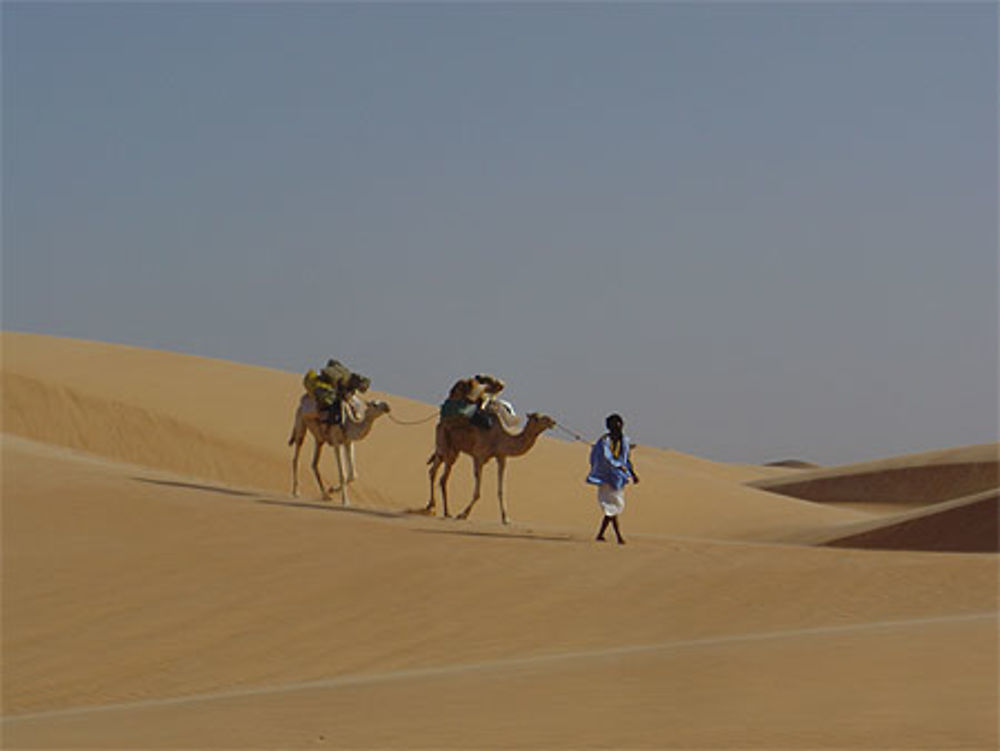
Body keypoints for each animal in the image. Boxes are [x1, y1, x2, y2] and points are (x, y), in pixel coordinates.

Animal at [418, 408, 552, 524]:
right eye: (537, 418)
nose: (552, 421)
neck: (500, 439)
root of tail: (440, 423)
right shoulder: (479, 456)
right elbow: (477, 492)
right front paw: (463, 514)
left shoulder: (502, 457)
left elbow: (501, 490)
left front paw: (506, 518)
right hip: (446, 446)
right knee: (439, 475)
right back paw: (440, 510)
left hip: (450, 450)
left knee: (437, 474)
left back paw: (437, 508)